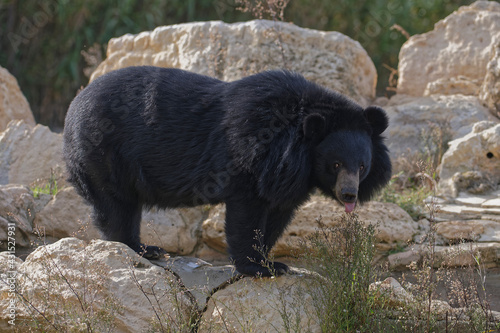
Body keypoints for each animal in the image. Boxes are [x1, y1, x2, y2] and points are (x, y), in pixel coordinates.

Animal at [62, 66, 390, 276]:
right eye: (335, 164)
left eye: (362, 166)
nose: (349, 195)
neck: (298, 153)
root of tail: (74, 104)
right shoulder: (254, 156)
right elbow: (247, 215)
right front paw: (258, 268)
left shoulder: (287, 180)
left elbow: (276, 215)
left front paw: (272, 262)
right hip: (105, 152)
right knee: (116, 204)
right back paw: (137, 248)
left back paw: (148, 249)